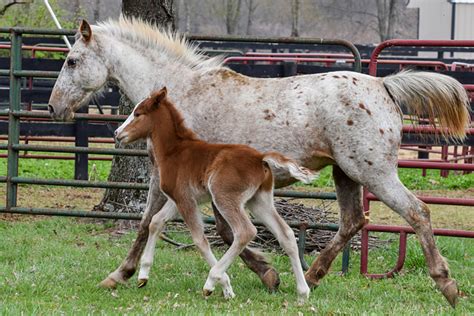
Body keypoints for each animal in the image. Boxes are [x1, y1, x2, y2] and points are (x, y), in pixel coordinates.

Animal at [113, 87, 316, 302]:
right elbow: (156, 222)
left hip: (224, 198)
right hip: (260, 201)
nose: (117, 133)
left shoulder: (184, 199)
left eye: (137, 114)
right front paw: (143, 275)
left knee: (245, 231)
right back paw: (303, 293)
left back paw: (211, 280)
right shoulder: (179, 199)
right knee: (286, 235)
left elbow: (199, 240)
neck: (174, 151)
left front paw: (224, 285)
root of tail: (260, 158)